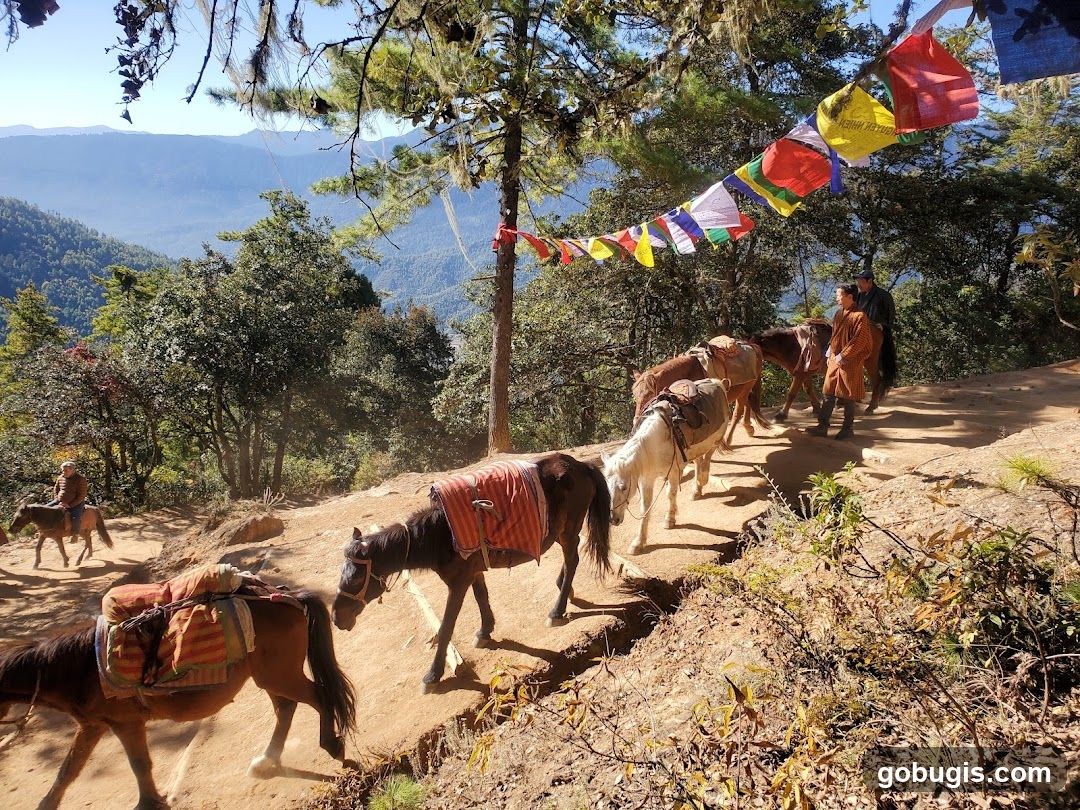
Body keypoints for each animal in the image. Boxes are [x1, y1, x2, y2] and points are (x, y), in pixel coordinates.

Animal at [0, 588, 355, 810]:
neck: (82, 667)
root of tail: (289, 597)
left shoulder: (125, 723)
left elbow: (139, 765)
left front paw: (149, 803)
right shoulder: (93, 726)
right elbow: (68, 771)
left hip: (280, 676)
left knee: (319, 696)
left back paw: (332, 746)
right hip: (271, 676)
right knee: (286, 708)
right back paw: (267, 760)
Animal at [332, 452, 611, 692]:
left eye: (357, 578)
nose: (336, 618)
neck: (441, 534)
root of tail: (582, 466)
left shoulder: (458, 583)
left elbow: (446, 626)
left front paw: (432, 676)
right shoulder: (475, 572)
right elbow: (482, 598)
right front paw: (485, 631)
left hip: (568, 529)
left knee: (572, 558)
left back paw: (557, 610)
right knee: (571, 556)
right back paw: (564, 586)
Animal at [604, 378, 732, 555]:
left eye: (624, 488)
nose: (613, 519)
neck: (655, 443)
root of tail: (716, 381)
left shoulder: (674, 472)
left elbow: (670, 495)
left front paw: (669, 520)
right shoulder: (646, 479)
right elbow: (645, 508)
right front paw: (639, 542)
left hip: (716, 438)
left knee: (706, 460)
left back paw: (702, 481)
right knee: (699, 461)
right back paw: (696, 491)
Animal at [631, 338, 769, 446]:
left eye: (650, 394)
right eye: (635, 396)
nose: (637, 420)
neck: (690, 372)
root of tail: (753, 346)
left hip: (745, 389)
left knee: (738, 411)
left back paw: (728, 439)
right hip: (744, 391)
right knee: (747, 404)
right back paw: (748, 429)